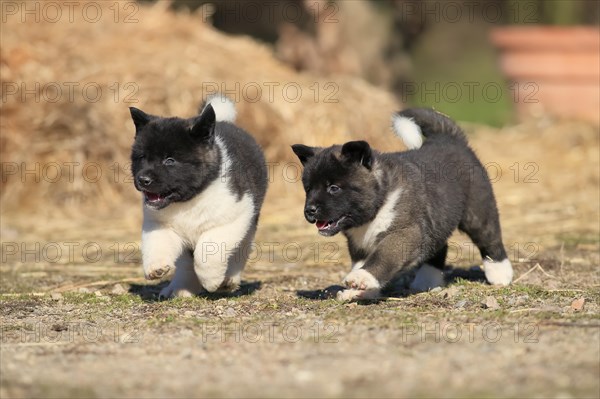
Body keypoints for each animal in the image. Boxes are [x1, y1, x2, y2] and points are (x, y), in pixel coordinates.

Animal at [129, 95, 268, 298]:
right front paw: (156, 267)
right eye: (142, 158)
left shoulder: (232, 219)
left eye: (170, 161)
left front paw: (211, 280)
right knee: (186, 265)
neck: (189, 200)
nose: (142, 180)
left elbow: (207, 251)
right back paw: (179, 289)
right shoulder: (159, 224)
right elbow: (155, 243)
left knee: (239, 252)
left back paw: (228, 281)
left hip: (249, 226)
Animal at [292, 108, 512, 302]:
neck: (379, 203)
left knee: (490, 239)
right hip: (437, 220)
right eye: (308, 188)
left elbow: (383, 256)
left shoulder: (404, 232)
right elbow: (362, 262)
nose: (309, 211)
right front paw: (358, 292)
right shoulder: (359, 244)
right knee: (438, 247)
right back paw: (427, 281)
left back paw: (500, 274)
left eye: (334, 188)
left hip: (477, 210)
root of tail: (449, 137)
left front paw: (362, 278)